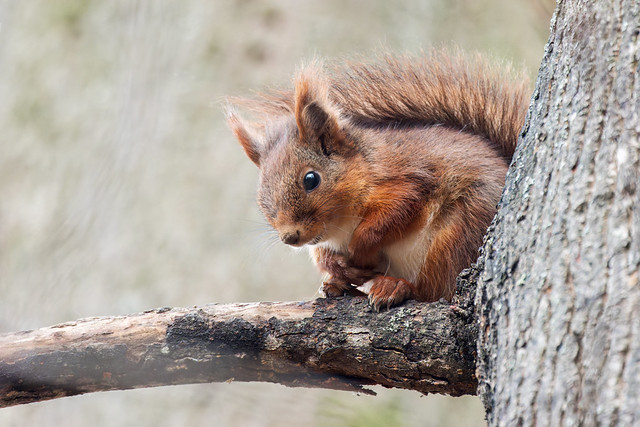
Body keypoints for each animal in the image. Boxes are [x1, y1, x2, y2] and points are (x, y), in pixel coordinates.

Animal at [226, 50, 529, 310]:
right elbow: (322, 254)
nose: (290, 237)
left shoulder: (411, 180)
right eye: (261, 196)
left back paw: (395, 287)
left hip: (457, 233)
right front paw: (337, 267)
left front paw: (360, 252)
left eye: (311, 179)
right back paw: (338, 287)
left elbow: (389, 217)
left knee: (433, 290)